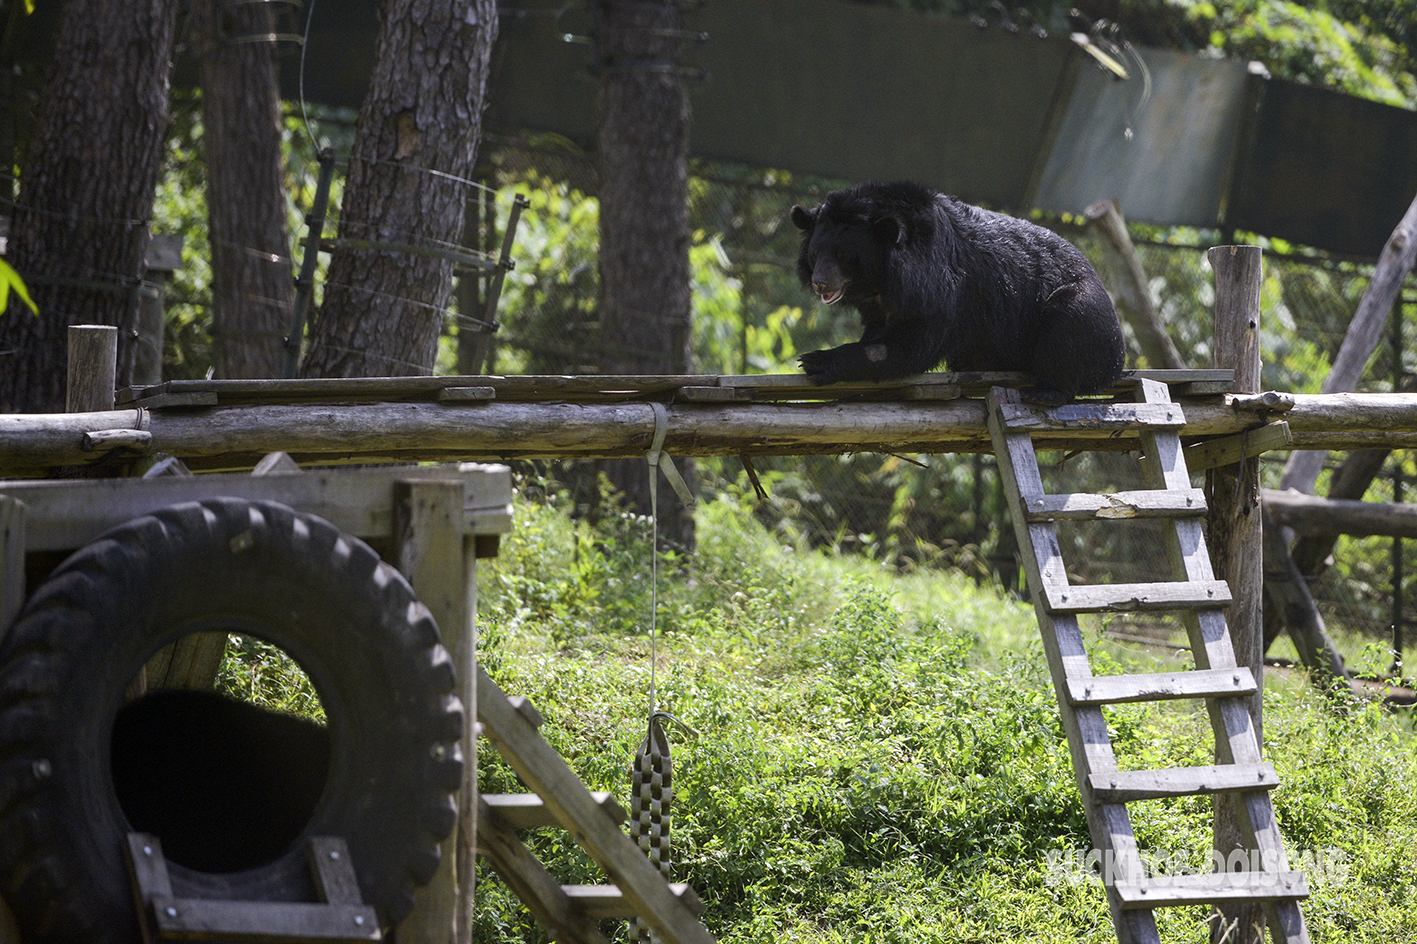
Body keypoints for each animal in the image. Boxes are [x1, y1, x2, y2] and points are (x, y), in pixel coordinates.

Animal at [793, 180, 1122, 405]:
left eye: (845, 256)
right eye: (816, 253)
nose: (820, 283)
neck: (883, 280)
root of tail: (1119, 358)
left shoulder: (939, 290)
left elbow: (908, 347)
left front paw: (817, 361)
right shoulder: (881, 303)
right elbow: (878, 333)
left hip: (1082, 311)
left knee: (1068, 329)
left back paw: (1045, 392)